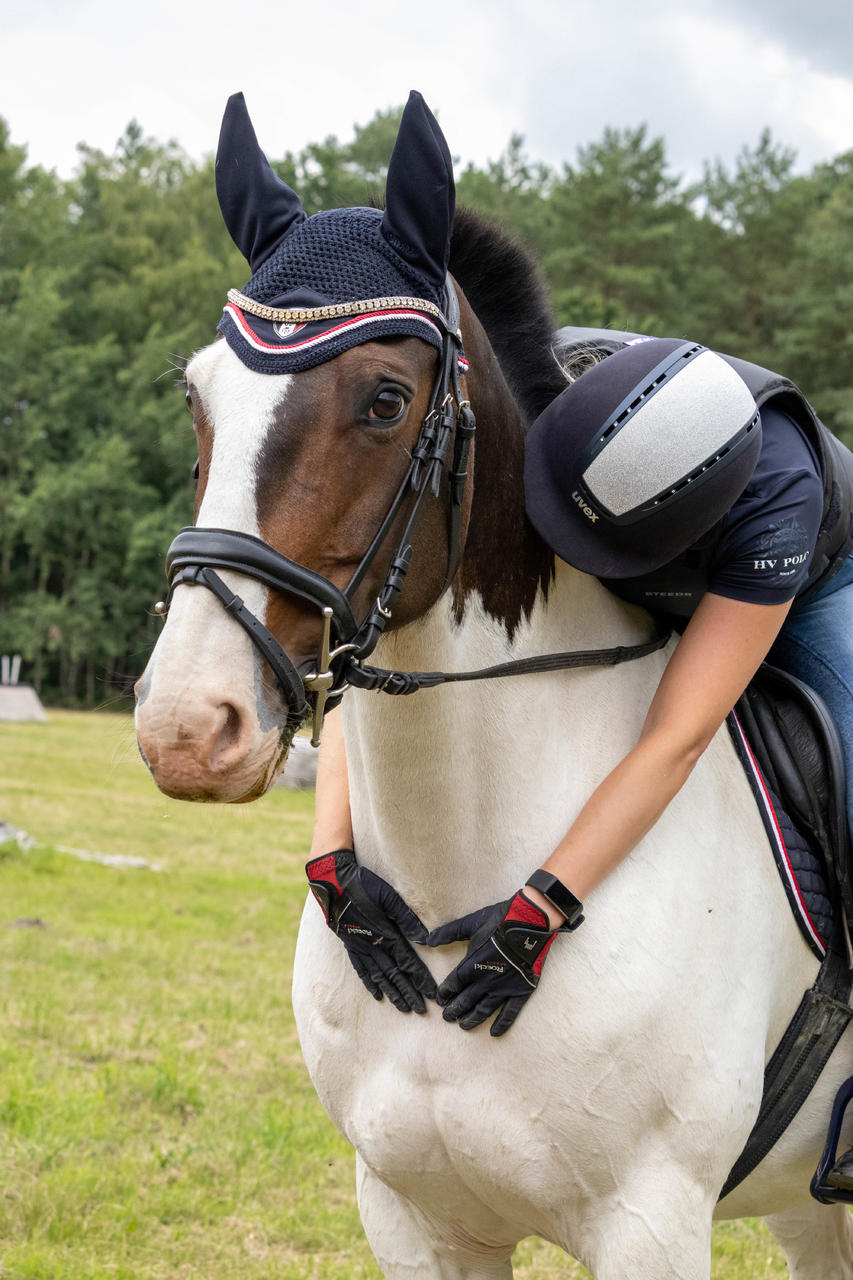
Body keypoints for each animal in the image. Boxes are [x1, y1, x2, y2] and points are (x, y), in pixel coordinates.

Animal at [136, 92, 850, 1280]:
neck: (447, 883)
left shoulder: (651, 1222)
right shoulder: (413, 1214)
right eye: (199, 395)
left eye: (384, 401)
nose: (188, 727)